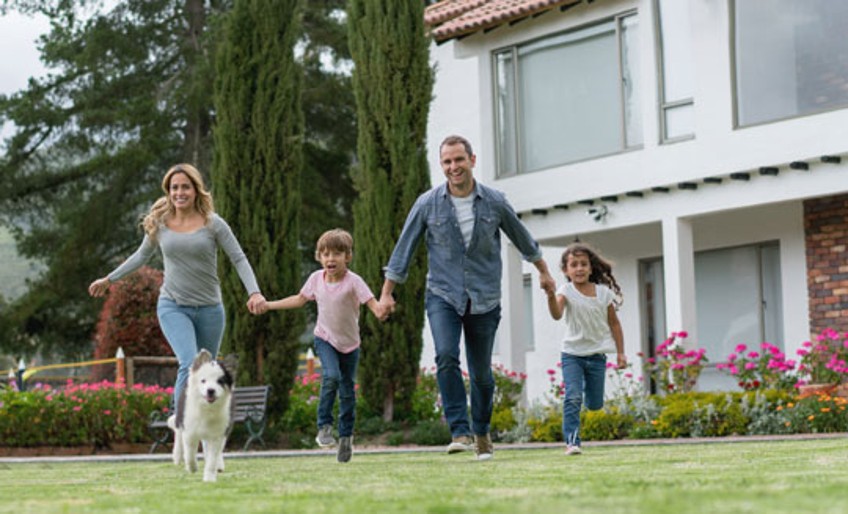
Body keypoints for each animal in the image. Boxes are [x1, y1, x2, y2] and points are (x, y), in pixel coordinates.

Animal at [167, 348, 234, 480]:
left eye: (220, 381)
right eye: (203, 380)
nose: (210, 390)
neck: (206, 408)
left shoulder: (218, 433)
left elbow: (212, 457)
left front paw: (209, 478)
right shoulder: (189, 430)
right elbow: (190, 453)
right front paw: (192, 467)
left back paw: (218, 465)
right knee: (179, 435)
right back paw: (178, 456)